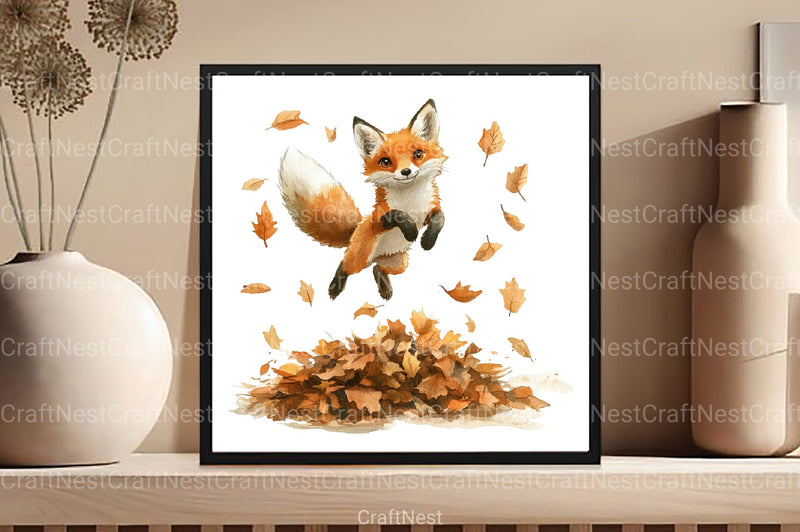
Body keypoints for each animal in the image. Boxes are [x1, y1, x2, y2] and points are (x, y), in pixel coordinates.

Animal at [278, 99, 446, 301]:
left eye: (418, 154)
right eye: (386, 162)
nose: (406, 171)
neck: (410, 201)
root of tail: (355, 231)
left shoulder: (431, 208)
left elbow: (440, 218)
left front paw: (428, 241)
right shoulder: (379, 220)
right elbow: (397, 214)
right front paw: (411, 231)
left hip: (399, 262)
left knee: (376, 269)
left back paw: (384, 286)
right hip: (360, 257)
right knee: (344, 265)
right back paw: (335, 287)